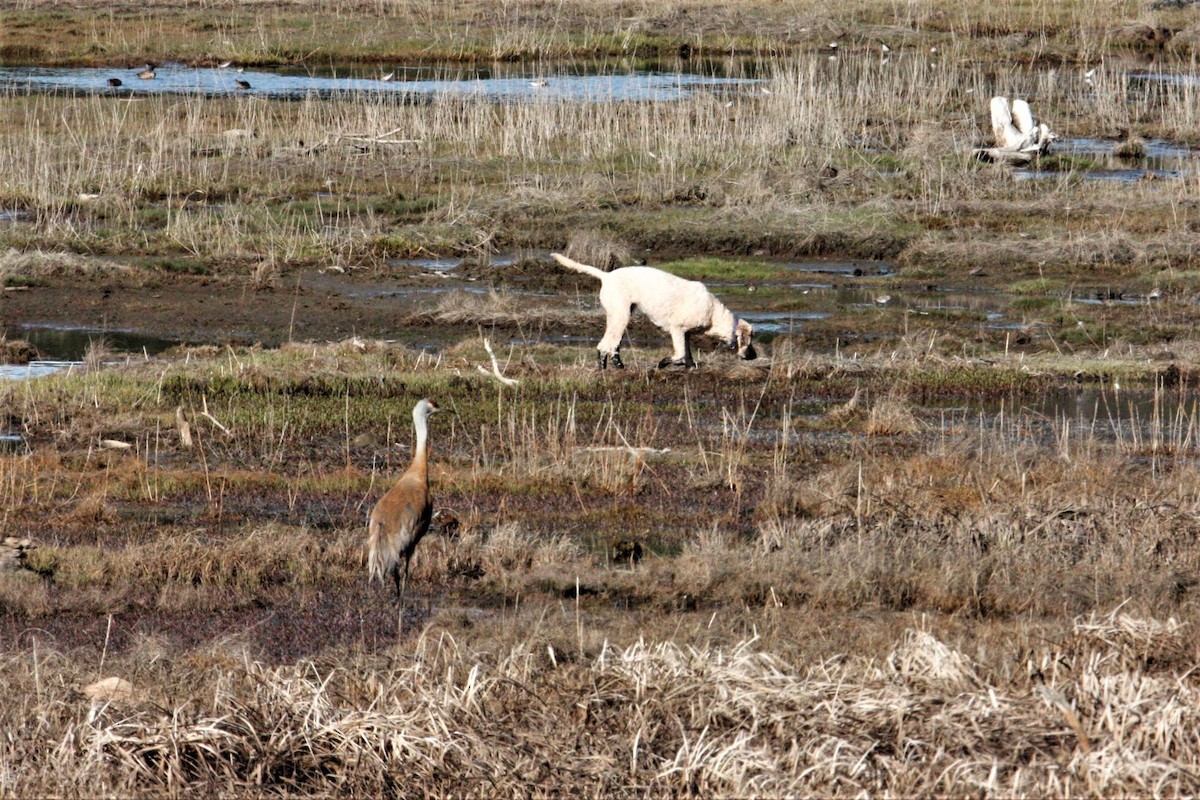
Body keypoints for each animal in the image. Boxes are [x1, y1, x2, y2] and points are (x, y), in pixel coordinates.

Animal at [549, 253, 753, 369]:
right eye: (749, 339)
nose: (754, 356)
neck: (713, 314)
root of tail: (606, 276)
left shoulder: (685, 334)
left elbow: (687, 355)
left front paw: (690, 366)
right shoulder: (677, 329)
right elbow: (679, 354)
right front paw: (663, 363)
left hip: (620, 315)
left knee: (612, 345)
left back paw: (615, 364)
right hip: (621, 316)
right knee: (605, 345)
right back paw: (608, 367)